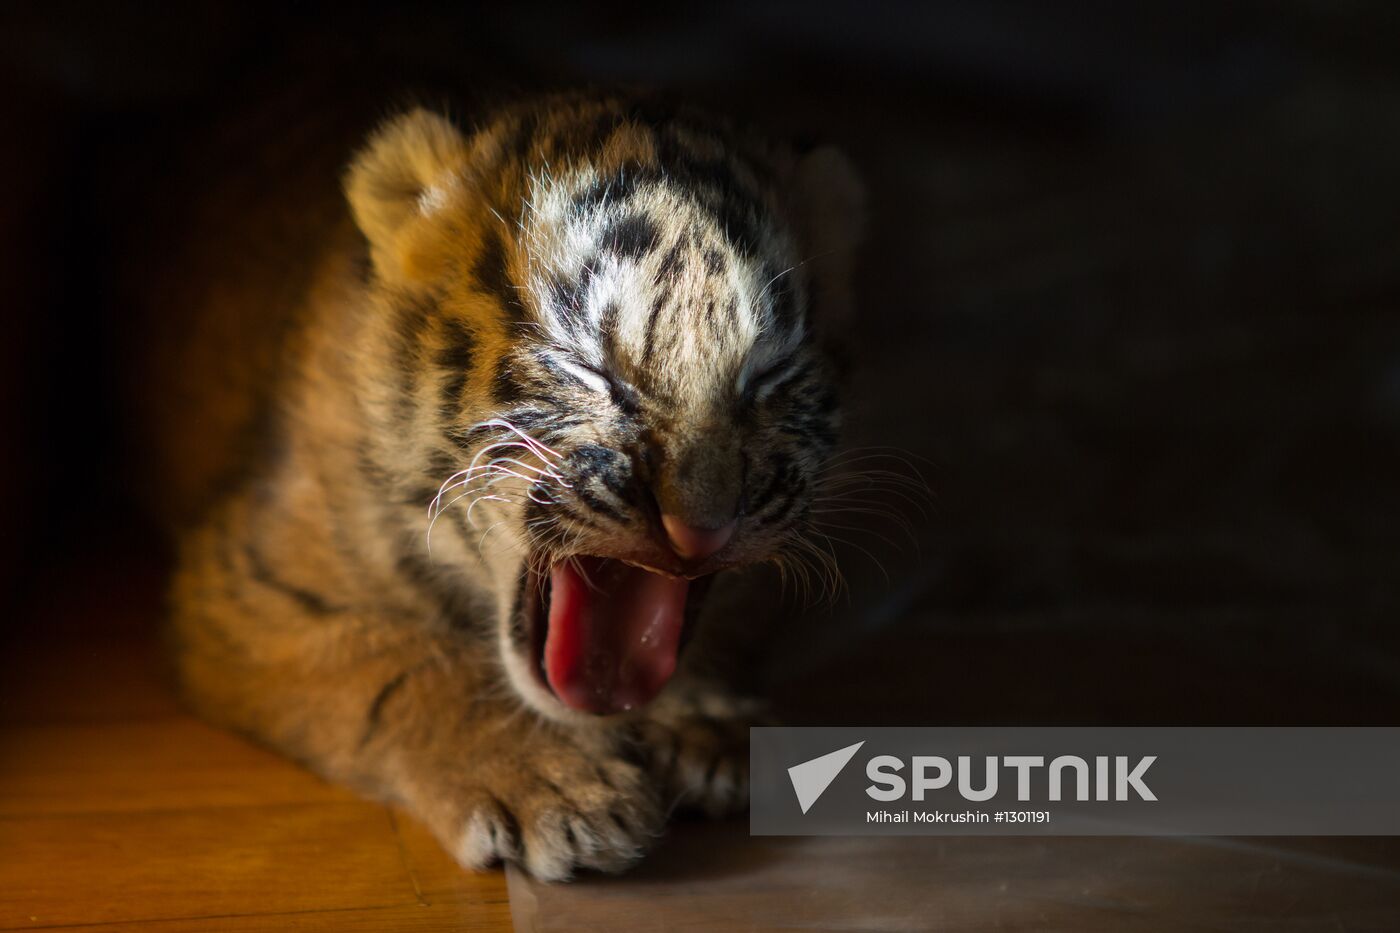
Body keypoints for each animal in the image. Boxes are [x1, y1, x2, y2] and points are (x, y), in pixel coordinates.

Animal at [164, 91, 864, 880]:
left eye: (770, 376)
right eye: (590, 367)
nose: (701, 530)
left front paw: (711, 728)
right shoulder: (245, 587)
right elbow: (402, 662)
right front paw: (558, 788)